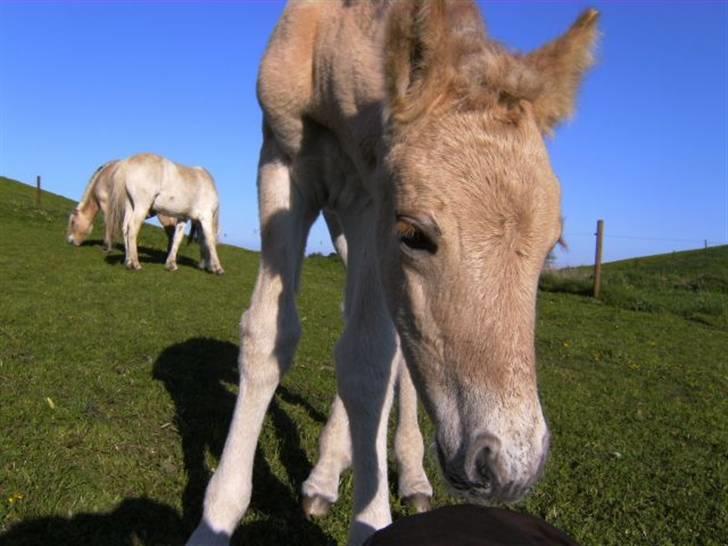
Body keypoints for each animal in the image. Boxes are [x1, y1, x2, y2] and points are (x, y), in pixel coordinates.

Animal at [186, 2, 596, 540]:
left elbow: (369, 361)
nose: (510, 467)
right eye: (414, 234)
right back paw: (325, 476)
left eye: (552, 247)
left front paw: (372, 515)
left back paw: (409, 474)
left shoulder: (369, 200)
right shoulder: (284, 161)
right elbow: (269, 334)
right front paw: (213, 521)